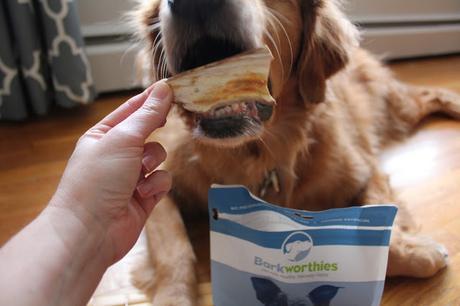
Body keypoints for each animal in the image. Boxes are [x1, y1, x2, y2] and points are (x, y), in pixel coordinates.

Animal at [129, 0, 460, 304]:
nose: (193, 2)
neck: (254, 153)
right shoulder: (154, 185)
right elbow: (175, 251)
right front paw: (172, 298)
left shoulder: (365, 170)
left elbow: (379, 229)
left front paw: (418, 251)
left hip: (399, 108)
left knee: (430, 94)